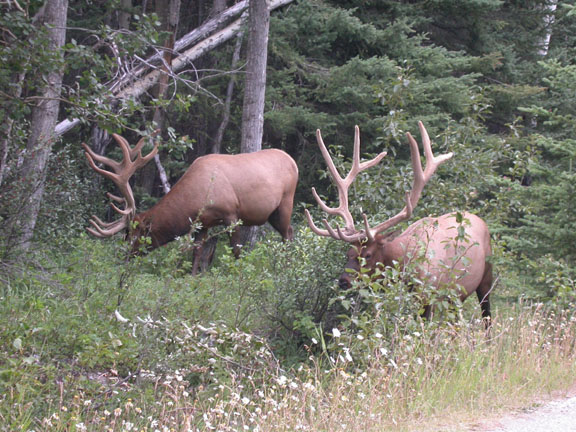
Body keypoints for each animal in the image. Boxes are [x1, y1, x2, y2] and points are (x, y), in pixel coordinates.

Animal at [83, 132, 299, 274]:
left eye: (136, 236)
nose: (124, 258)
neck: (198, 196)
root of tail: (293, 162)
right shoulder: (202, 223)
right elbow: (197, 253)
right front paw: (192, 277)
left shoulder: (231, 214)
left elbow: (236, 250)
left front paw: (237, 275)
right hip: (272, 214)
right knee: (289, 232)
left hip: (286, 202)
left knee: (288, 234)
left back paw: (286, 268)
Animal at [305, 122, 493, 324]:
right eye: (348, 253)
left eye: (368, 255)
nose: (343, 281)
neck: (405, 264)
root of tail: (479, 219)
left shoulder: (426, 294)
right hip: (455, 297)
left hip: (486, 277)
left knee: (487, 315)